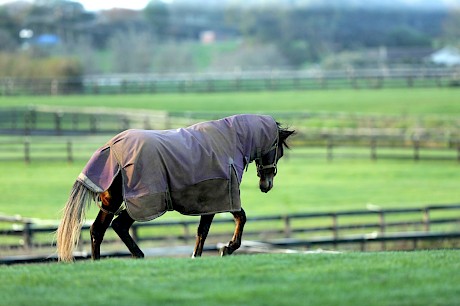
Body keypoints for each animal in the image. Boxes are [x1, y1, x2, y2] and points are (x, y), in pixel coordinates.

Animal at [56, 113, 294, 262]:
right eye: (279, 152)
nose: (266, 185)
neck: (229, 142)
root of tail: (111, 147)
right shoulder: (219, 197)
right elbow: (233, 220)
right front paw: (227, 248)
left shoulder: (214, 201)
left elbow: (207, 229)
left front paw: (203, 254)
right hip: (142, 202)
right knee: (119, 225)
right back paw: (139, 256)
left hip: (112, 201)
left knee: (98, 229)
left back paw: (98, 262)